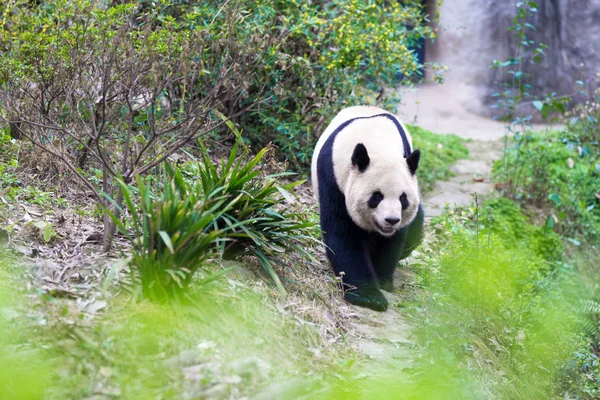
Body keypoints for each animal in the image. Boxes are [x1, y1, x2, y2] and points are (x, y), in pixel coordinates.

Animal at [312, 106, 424, 312]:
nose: (391, 220)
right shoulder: (333, 181)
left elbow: (393, 240)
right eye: (376, 197)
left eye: (403, 198)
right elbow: (343, 235)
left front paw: (382, 280)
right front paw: (369, 296)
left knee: (415, 230)